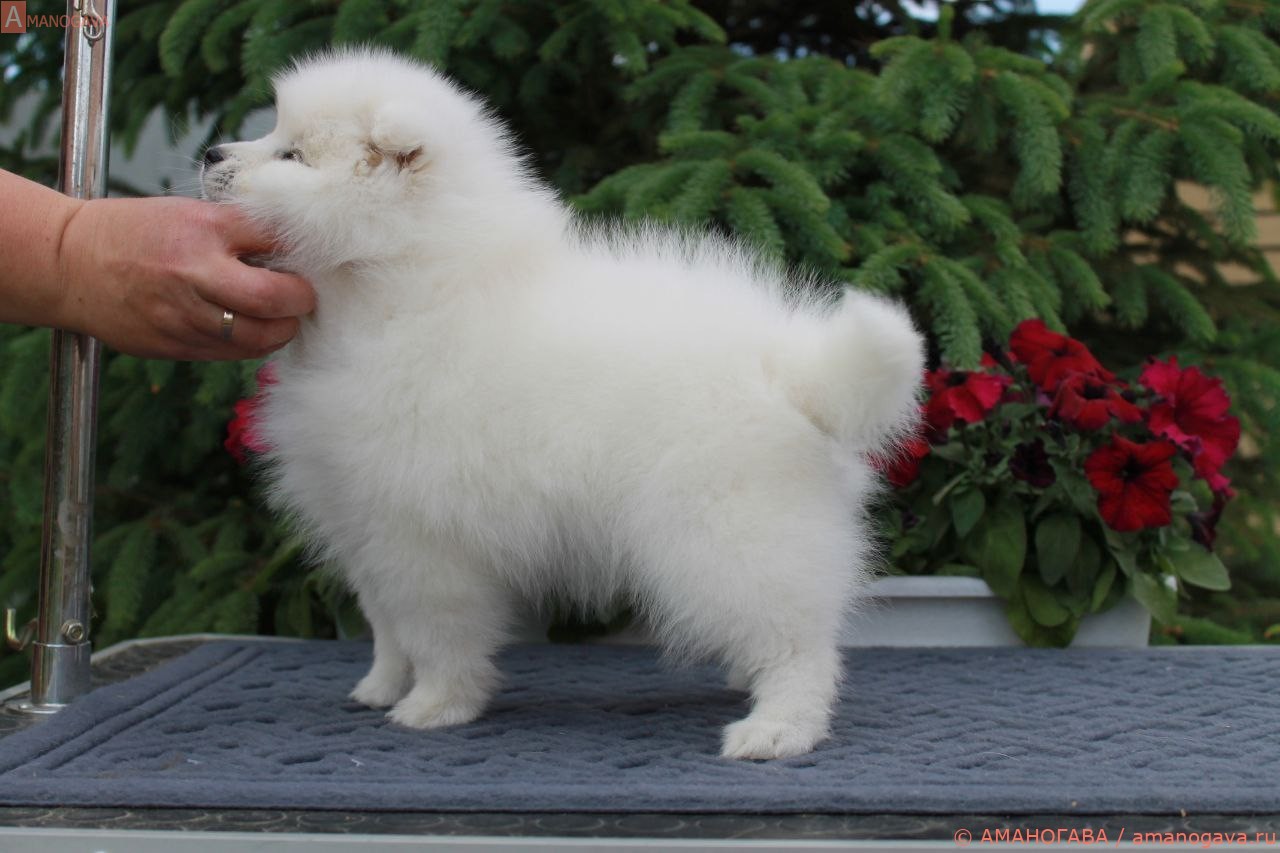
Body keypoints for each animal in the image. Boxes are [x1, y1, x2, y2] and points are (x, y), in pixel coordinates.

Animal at [201, 48, 924, 759]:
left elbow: (436, 632)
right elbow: (387, 625)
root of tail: (793, 370)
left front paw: (434, 705)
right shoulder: (360, 520)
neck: (392, 292)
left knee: (796, 639)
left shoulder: (423, 537)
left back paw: (779, 727)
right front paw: (381, 685)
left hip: (729, 527)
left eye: (293, 155)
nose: (209, 154)